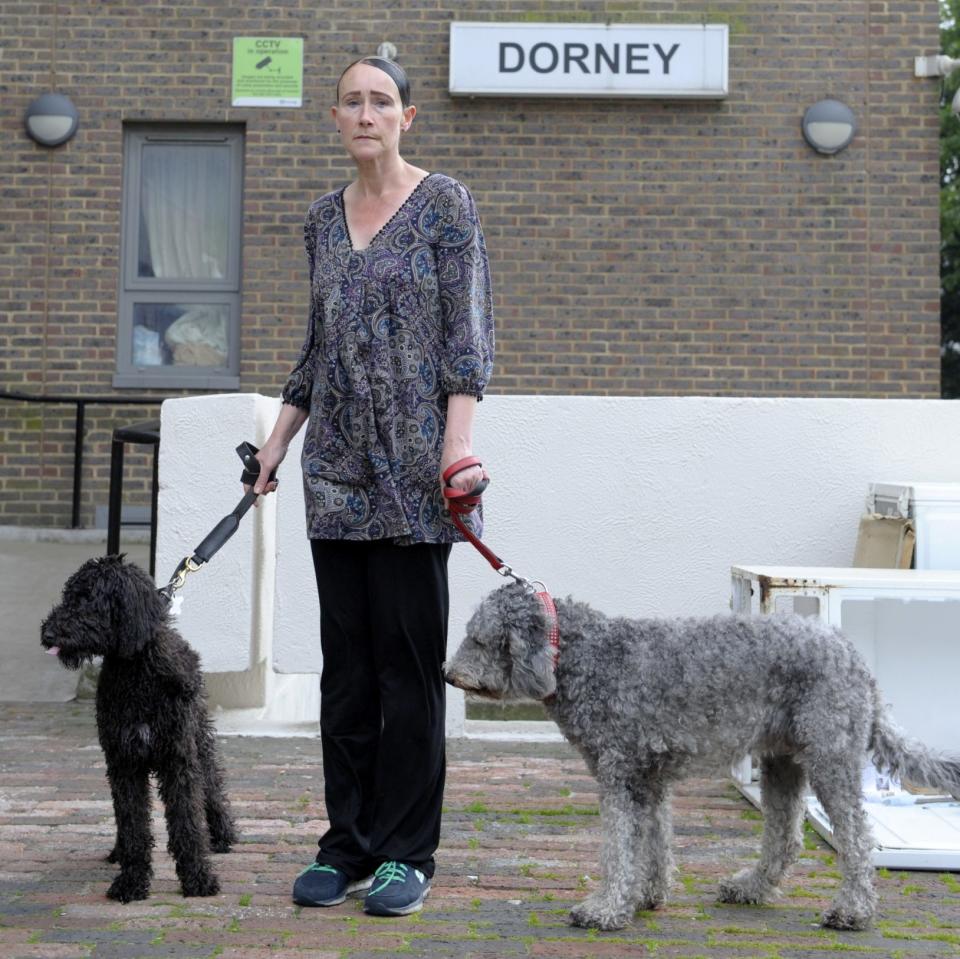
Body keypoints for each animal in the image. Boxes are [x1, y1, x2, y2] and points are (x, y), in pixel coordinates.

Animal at [42, 556, 240, 900]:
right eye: (69, 596)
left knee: (212, 786)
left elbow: (187, 821)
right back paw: (118, 851)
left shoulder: (178, 760)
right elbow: (132, 824)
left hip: (199, 741)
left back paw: (222, 834)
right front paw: (131, 880)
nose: (48, 633)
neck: (136, 671)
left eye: (88, 599)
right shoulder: (124, 763)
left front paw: (198, 878)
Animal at [446, 580, 960, 932]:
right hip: (782, 762)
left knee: (855, 838)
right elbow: (653, 842)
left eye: (478, 638)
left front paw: (606, 908)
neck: (587, 656)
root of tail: (853, 656)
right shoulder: (648, 781)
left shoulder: (620, 777)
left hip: (829, 758)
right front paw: (645, 896)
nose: (449, 674)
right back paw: (750, 887)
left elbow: (618, 848)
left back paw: (852, 911)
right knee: (786, 837)